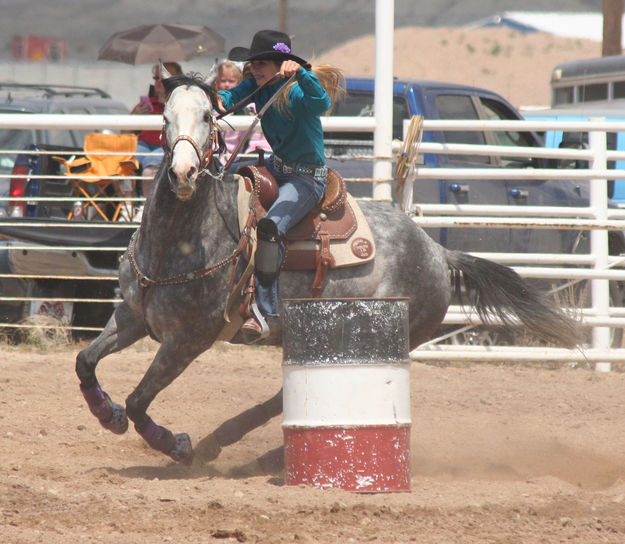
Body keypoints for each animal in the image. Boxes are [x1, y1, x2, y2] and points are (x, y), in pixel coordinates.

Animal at [75, 75, 576, 468]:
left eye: (207, 118)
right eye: (165, 119)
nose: (183, 174)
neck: (175, 243)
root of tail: (438, 251)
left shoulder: (189, 339)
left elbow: (140, 402)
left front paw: (175, 443)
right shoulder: (133, 316)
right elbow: (86, 361)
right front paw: (106, 413)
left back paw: (236, 447)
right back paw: (228, 442)